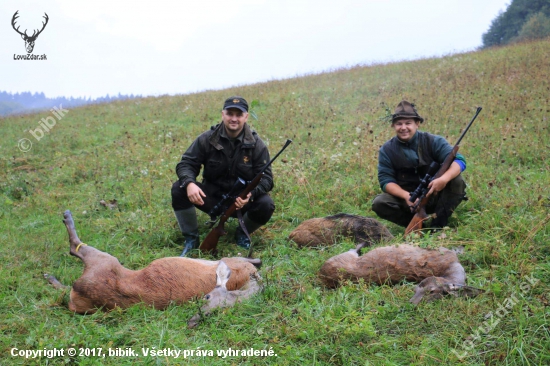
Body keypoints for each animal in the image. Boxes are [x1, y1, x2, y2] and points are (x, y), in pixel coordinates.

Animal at [45, 210, 264, 328]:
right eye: (206, 297)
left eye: (213, 308)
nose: (192, 321)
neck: (247, 279)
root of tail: (79, 290)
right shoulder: (233, 261)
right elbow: (257, 259)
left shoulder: (232, 261)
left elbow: (255, 259)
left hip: (103, 263)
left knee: (74, 250)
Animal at [320, 242, 484, 304]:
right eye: (416, 288)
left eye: (432, 292)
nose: (411, 302)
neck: (452, 268)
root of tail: (321, 274)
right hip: (345, 256)